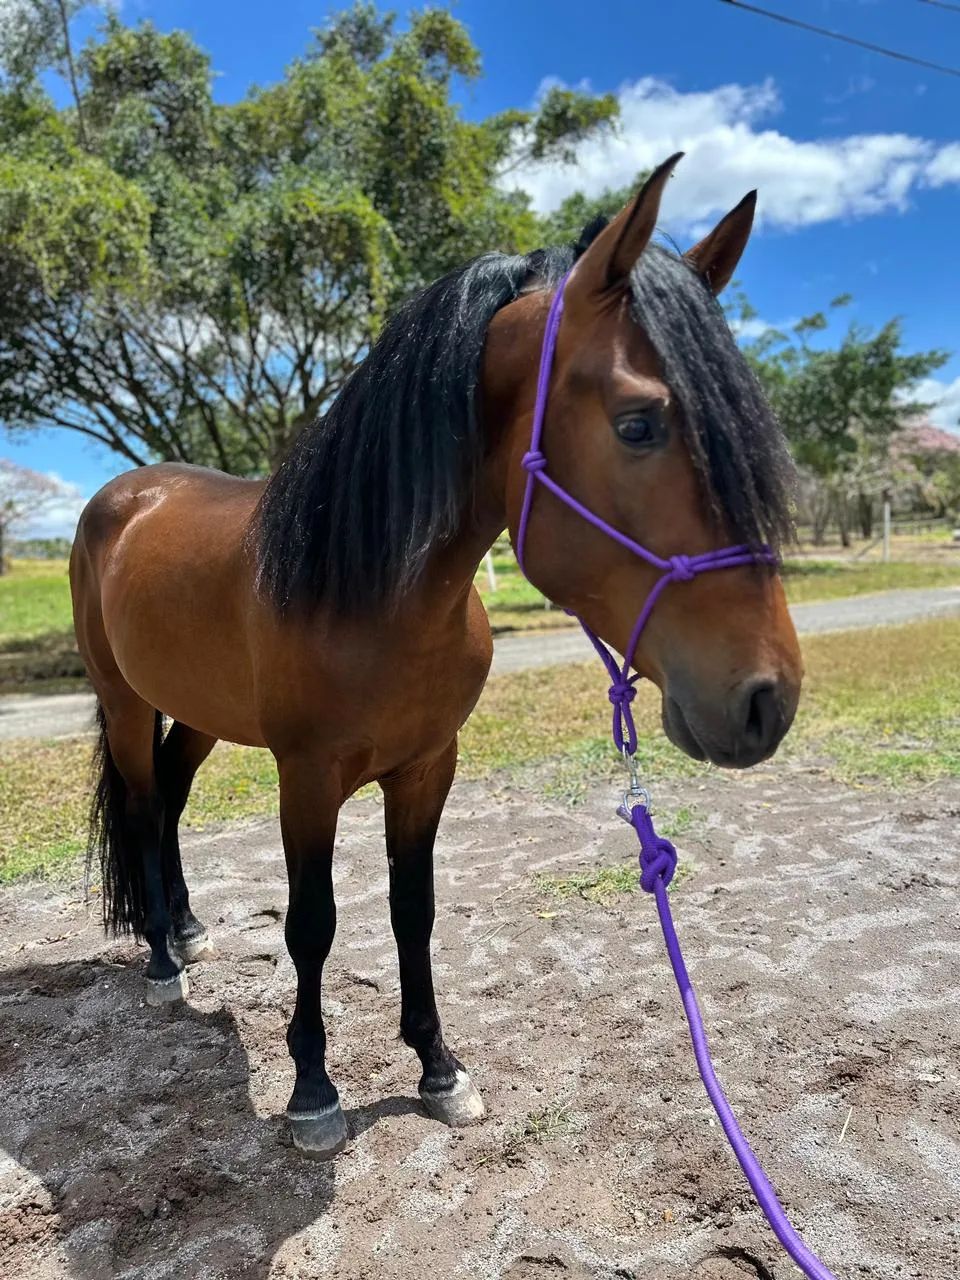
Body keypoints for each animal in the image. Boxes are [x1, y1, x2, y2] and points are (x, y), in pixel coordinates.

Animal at [70, 155, 803, 1160]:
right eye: (639, 424)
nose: (768, 699)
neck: (371, 591)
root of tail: (124, 495)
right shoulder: (307, 777)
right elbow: (313, 923)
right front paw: (313, 1089)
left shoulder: (427, 767)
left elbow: (410, 910)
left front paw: (438, 1067)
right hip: (127, 702)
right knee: (145, 812)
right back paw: (158, 962)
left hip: (201, 713)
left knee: (174, 799)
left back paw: (185, 930)